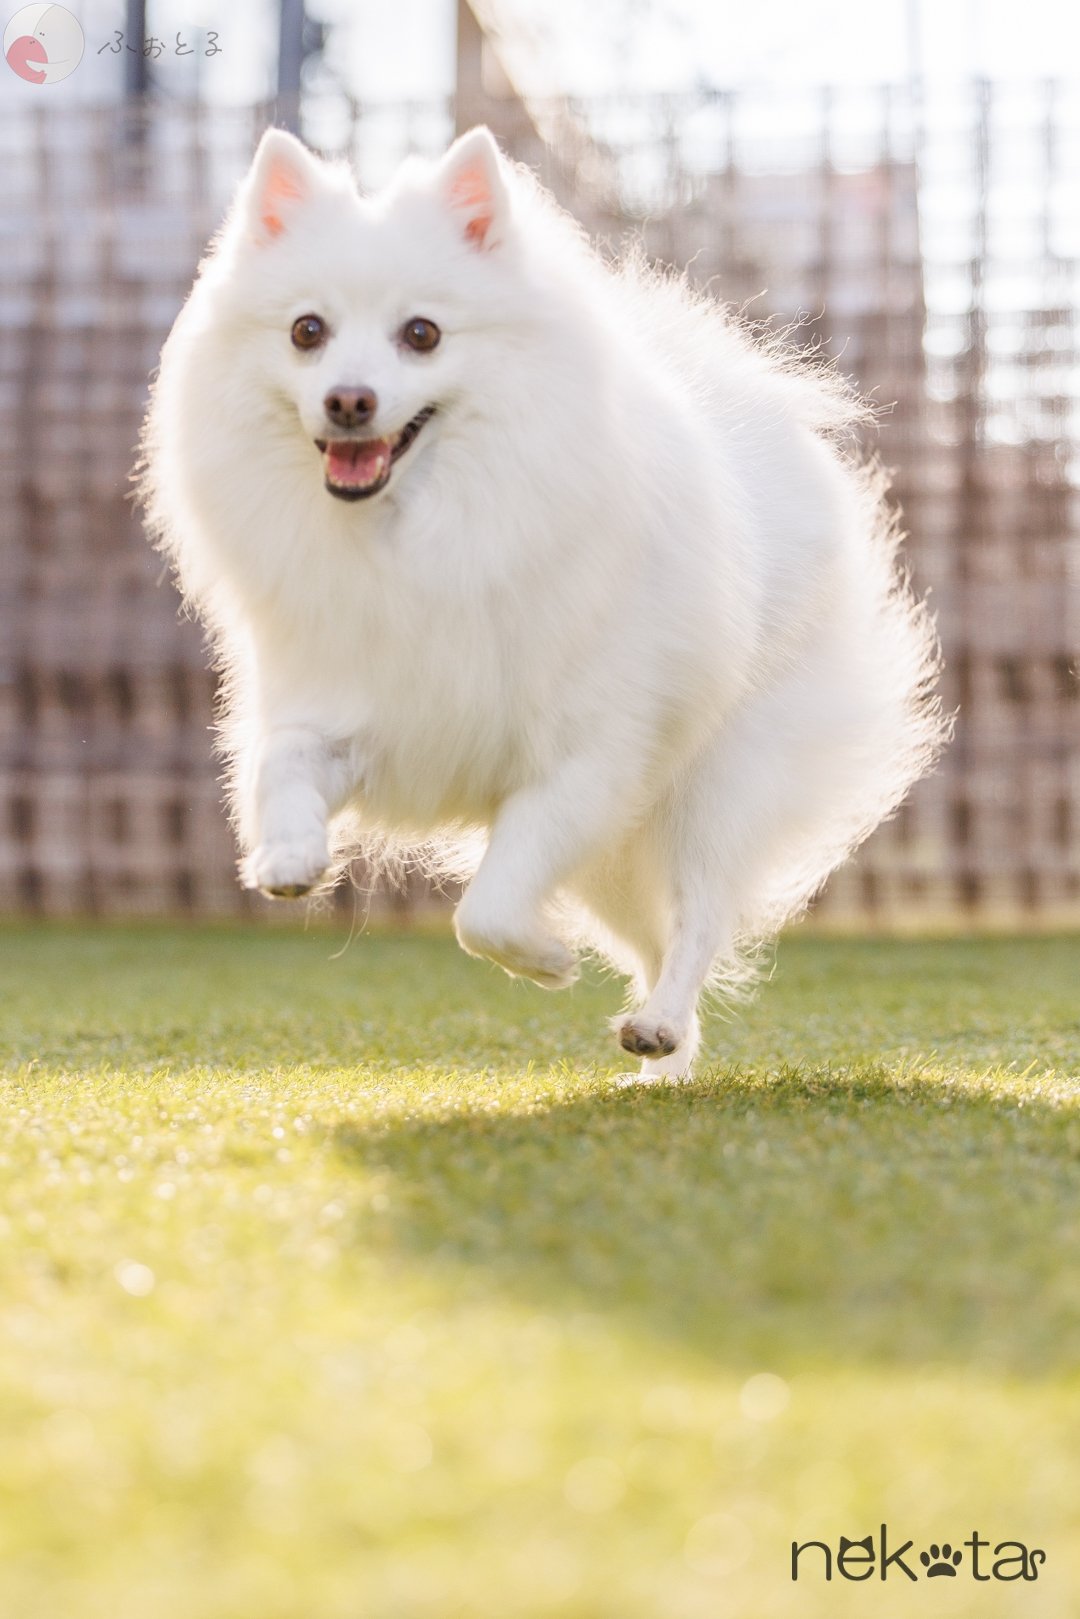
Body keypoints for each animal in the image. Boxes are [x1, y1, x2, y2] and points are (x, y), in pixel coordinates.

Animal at [143, 126, 945, 1075]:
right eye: (308, 331)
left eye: (422, 334)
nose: (348, 399)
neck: (420, 533)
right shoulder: (344, 697)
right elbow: (283, 766)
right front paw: (290, 852)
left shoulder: (587, 761)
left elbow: (487, 908)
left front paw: (544, 957)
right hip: (624, 846)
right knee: (653, 934)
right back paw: (666, 1059)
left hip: (716, 786)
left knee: (699, 915)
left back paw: (660, 1024)